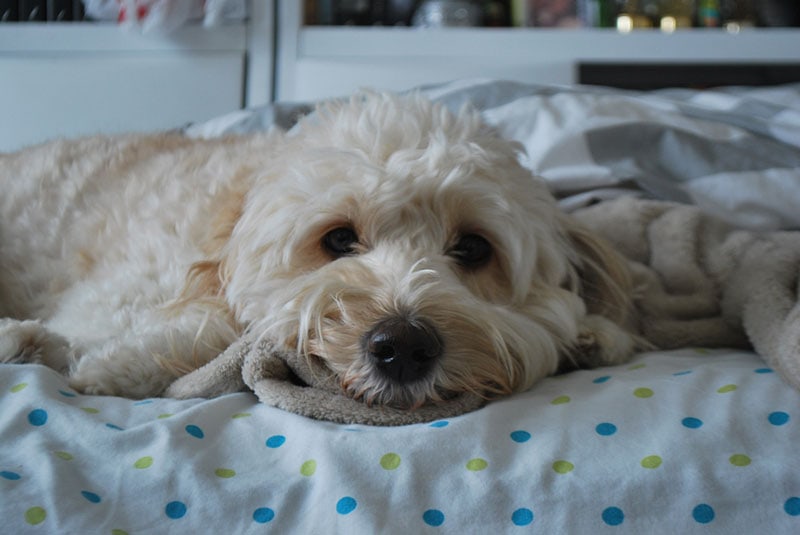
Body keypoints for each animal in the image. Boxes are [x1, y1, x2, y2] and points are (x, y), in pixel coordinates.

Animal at [0, 93, 636, 410]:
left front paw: (595, 335)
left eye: (474, 248)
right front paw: (98, 362)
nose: (403, 347)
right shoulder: (127, 284)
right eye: (338, 239)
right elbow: (203, 324)